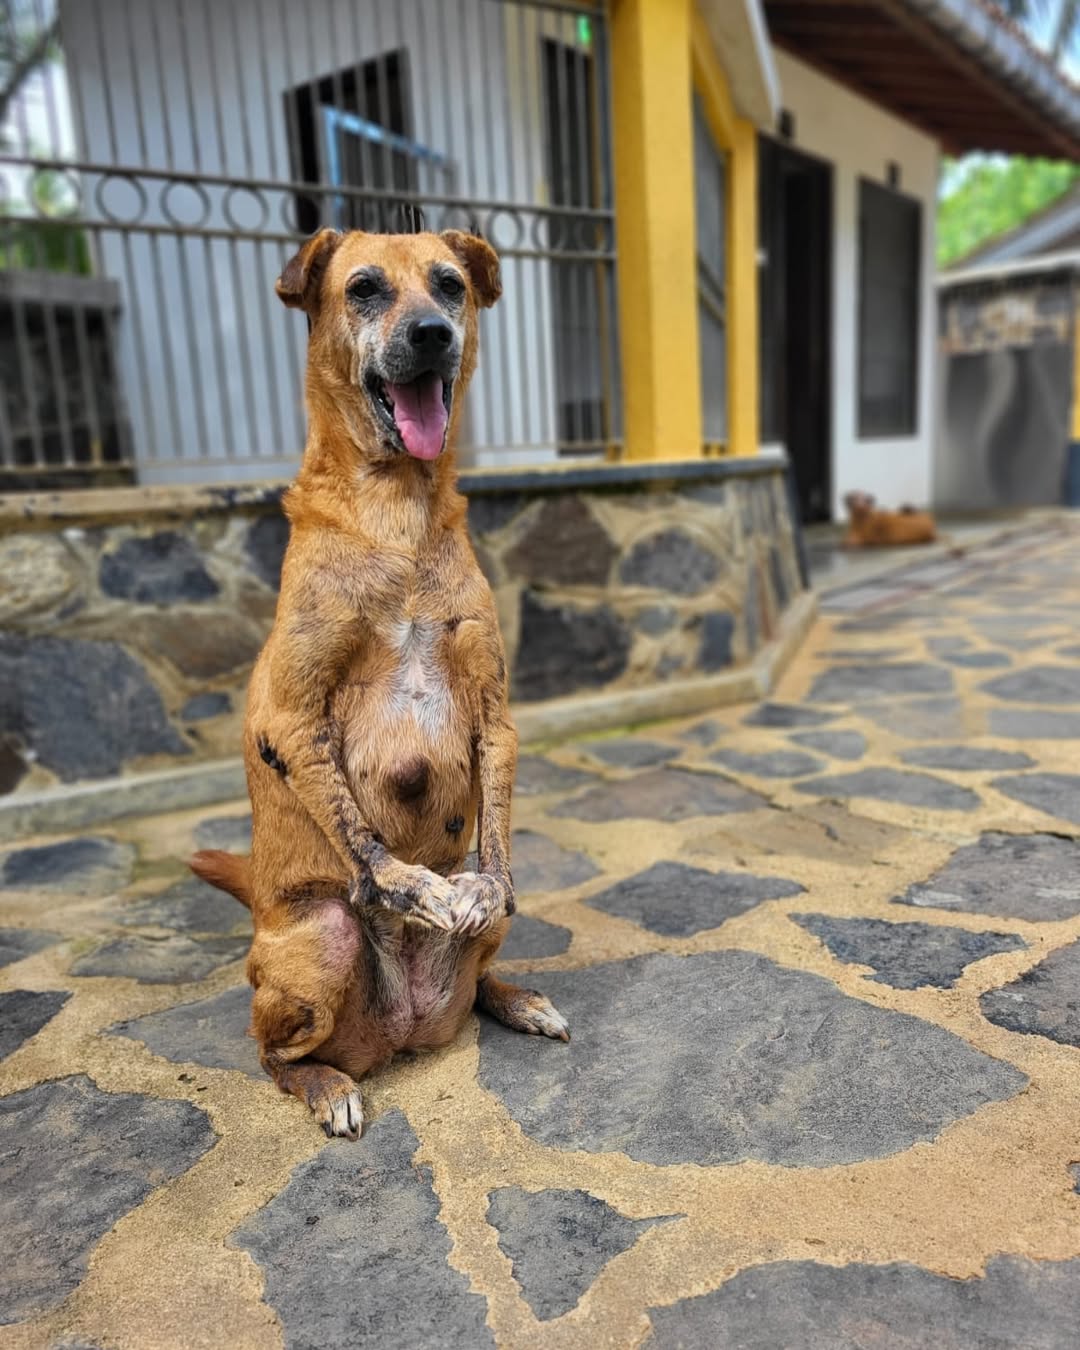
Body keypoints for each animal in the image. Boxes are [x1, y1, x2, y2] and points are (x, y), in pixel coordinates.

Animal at [191, 227, 568, 1140]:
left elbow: (494, 831)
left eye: (450, 284)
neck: (395, 511)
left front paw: (474, 886)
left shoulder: (495, 713)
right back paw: (328, 1084)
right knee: (274, 1056)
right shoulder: (292, 720)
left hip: (487, 938)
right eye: (363, 288)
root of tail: (401, 1031)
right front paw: (402, 883)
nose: (432, 332)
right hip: (321, 942)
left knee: (481, 967)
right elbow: (355, 828)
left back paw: (516, 995)